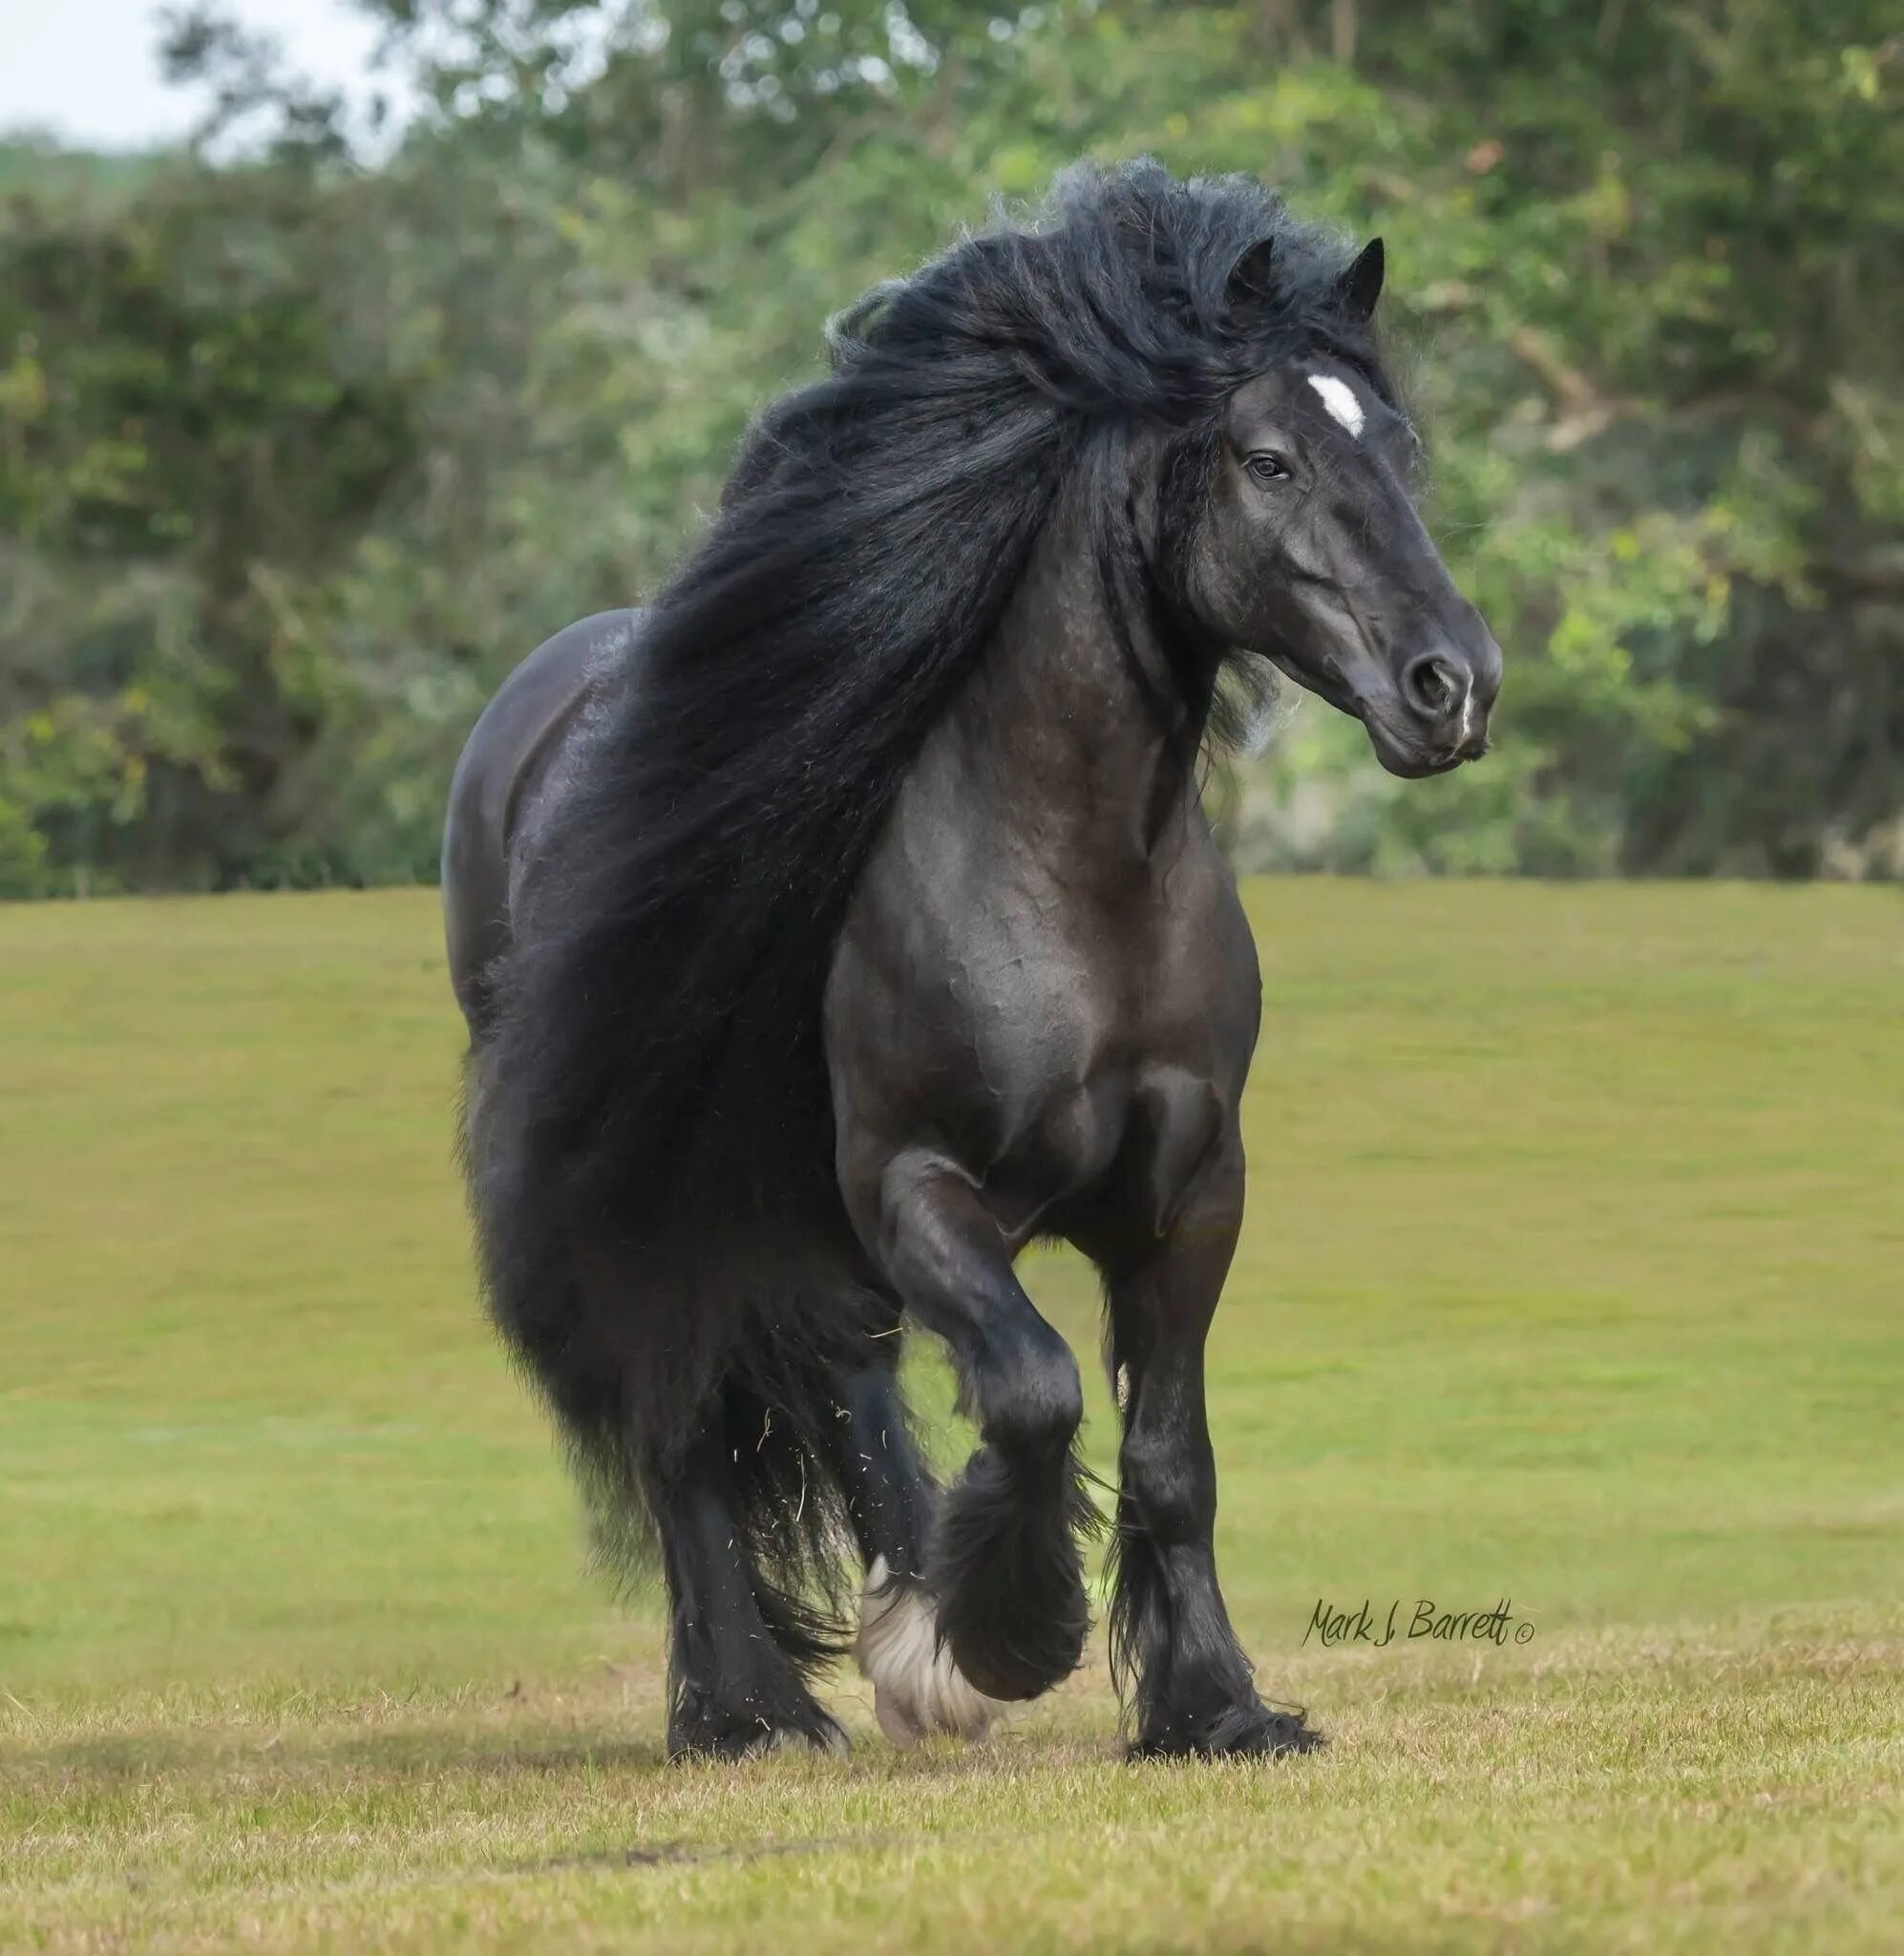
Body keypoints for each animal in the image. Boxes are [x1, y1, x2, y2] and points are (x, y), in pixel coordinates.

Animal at [447, 164, 1509, 1760]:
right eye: (1265, 459)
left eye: (1395, 445)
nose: (1451, 687)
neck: (1071, 886)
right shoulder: (919, 1191)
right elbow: (1031, 1388)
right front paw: (1008, 1634)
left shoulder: (1189, 1198)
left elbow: (1168, 1454)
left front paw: (1213, 1706)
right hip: (658, 1183)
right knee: (683, 1416)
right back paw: (749, 1711)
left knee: (836, 1382)